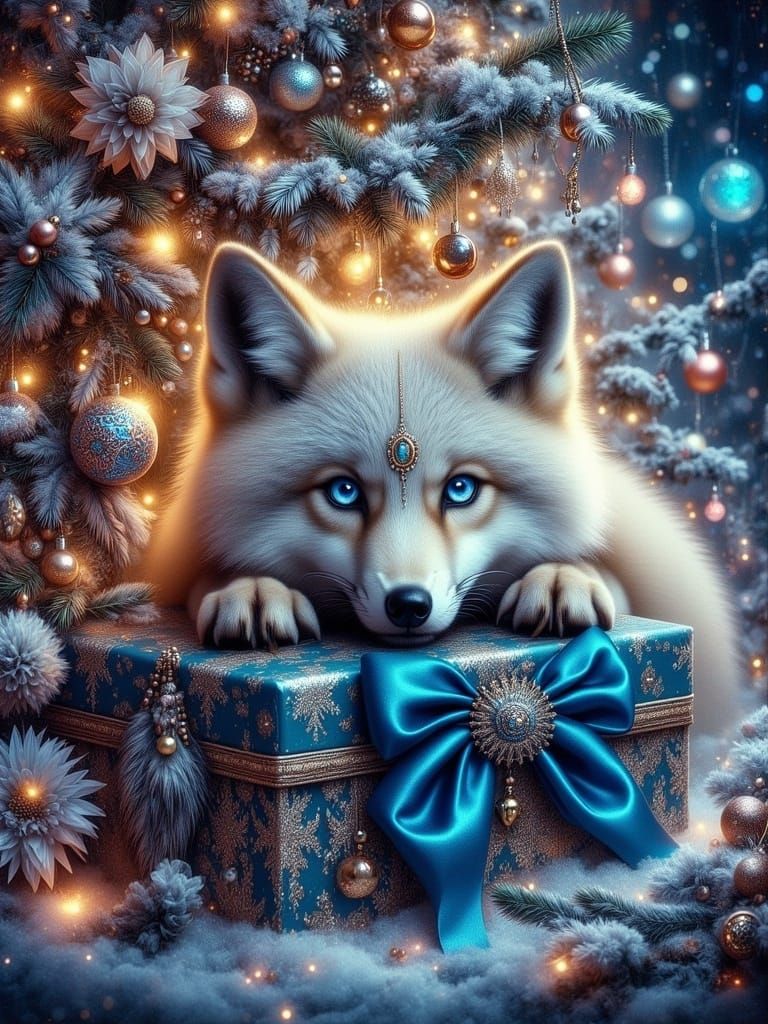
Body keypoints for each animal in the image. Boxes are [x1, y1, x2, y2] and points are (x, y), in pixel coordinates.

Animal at [141, 239, 739, 733]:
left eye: (461, 490)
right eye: (343, 493)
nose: (409, 605)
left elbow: (605, 578)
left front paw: (562, 578)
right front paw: (251, 588)